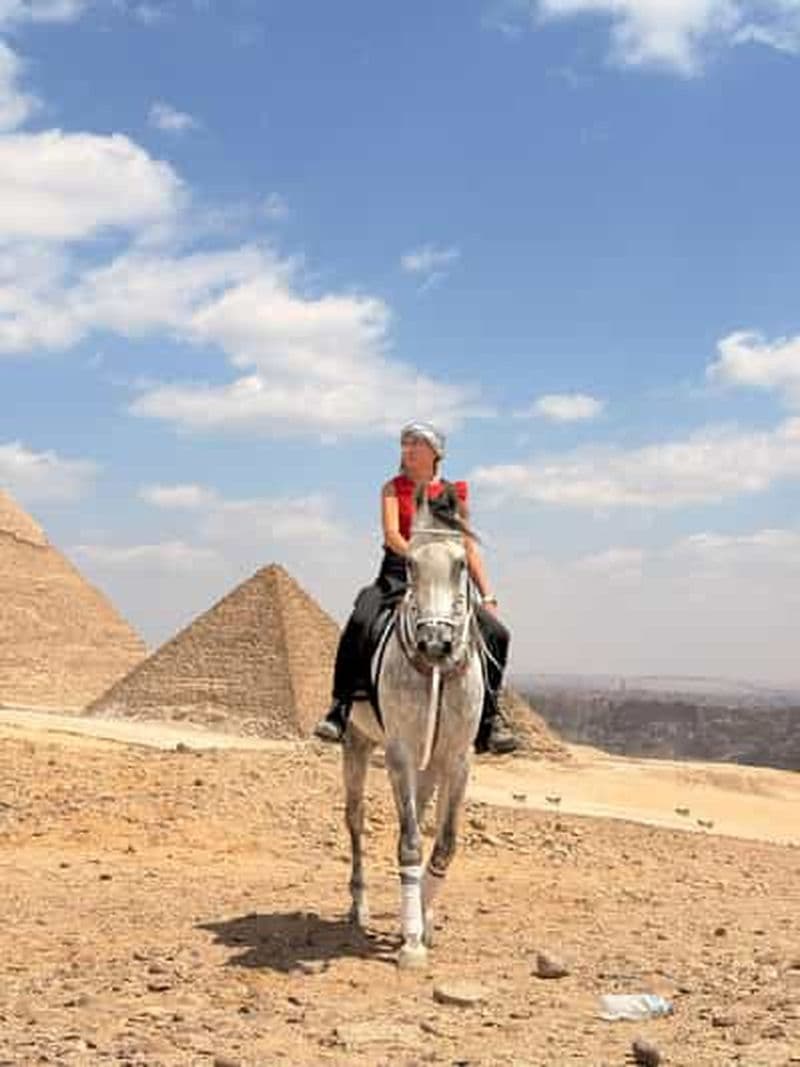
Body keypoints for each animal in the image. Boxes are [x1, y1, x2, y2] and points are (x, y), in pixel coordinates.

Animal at [343, 485, 485, 969]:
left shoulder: (457, 759)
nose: (435, 643)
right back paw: (358, 905)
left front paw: (424, 921)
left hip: (430, 765)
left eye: (461, 563)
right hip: (357, 744)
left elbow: (443, 844)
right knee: (355, 820)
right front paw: (410, 941)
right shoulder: (399, 754)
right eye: (409, 565)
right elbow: (408, 843)